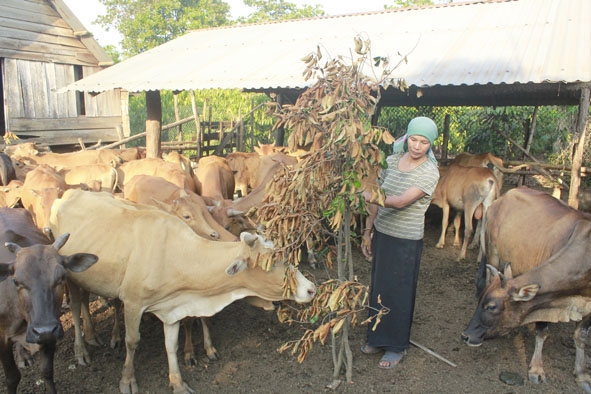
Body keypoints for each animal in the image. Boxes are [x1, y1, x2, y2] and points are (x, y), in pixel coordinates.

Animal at [0, 208, 97, 392]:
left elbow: (47, 371)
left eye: (62, 277)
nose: (43, 330)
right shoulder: (1, 337)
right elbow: (12, 377)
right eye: (16, 281)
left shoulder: (52, 331)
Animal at [49, 189, 320, 392]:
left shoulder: (172, 308)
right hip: (70, 277)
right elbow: (132, 341)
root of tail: (68, 193)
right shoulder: (134, 303)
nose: (311, 289)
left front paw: (178, 382)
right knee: (76, 307)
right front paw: (127, 380)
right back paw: (82, 350)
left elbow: (172, 345)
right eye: (269, 263)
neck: (174, 254)